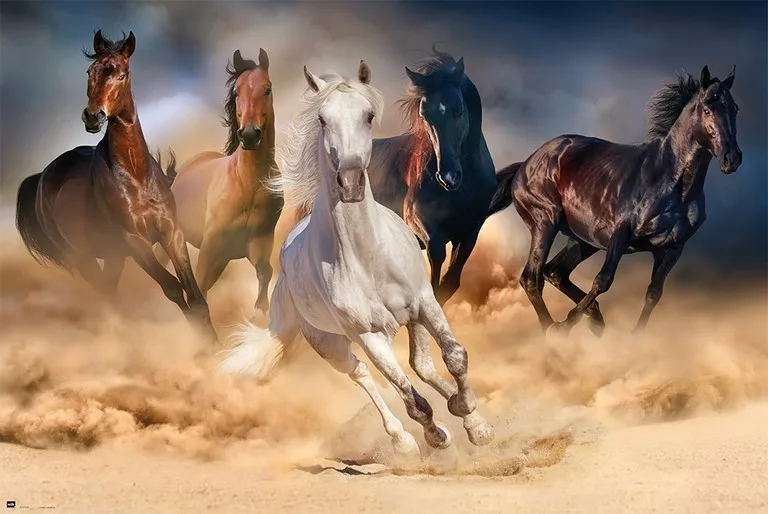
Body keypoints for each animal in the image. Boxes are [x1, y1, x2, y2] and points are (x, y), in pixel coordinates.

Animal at [14, 30, 215, 340]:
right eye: (90, 71)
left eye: (121, 74)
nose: (92, 116)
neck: (136, 176)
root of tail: (41, 177)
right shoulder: (135, 241)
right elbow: (172, 288)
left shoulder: (172, 233)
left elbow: (195, 296)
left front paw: (215, 345)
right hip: (83, 257)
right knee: (106, 295)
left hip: (113, 256)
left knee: (109, 290)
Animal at [157, 49, 281, 316]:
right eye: (237, 92)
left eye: (267, 89)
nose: (249, 134)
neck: (247, 184)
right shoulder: (211, 245)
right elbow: (199, 288)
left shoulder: (258, 243)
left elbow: (265, 272)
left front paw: (260, 312)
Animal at [287, 46, 496, 307]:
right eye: (424, 115)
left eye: (459, 111)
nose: (448, 176)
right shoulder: (427, 231)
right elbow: (435, 281)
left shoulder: (469, 234)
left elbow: (449, 283)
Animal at [488, 65, 741, 335]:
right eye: (707, 109)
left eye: (734, 108)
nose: (732, 158)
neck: (673, 183)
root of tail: (525, 164)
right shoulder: (621, 233)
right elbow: (603, 280)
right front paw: (566, 324)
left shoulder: (673, 248)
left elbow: (654, 293)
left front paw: (634, 336)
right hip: (545, 223)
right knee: (531, 278)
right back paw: (553, 329)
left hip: (582, 240)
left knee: (554, 272)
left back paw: (594, 318)